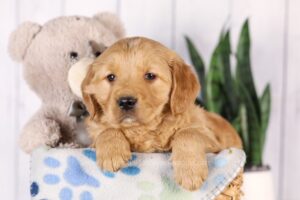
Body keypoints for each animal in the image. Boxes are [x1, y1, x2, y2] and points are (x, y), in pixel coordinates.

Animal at [81, 36, 241, 191]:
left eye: (150, 76)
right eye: (111, 77)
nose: (126, 101)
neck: (142, 129)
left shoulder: (215, 142)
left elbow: (187, 133)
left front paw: (189, 172)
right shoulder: (92, 141)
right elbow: (106, 130)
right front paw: (112, 152)